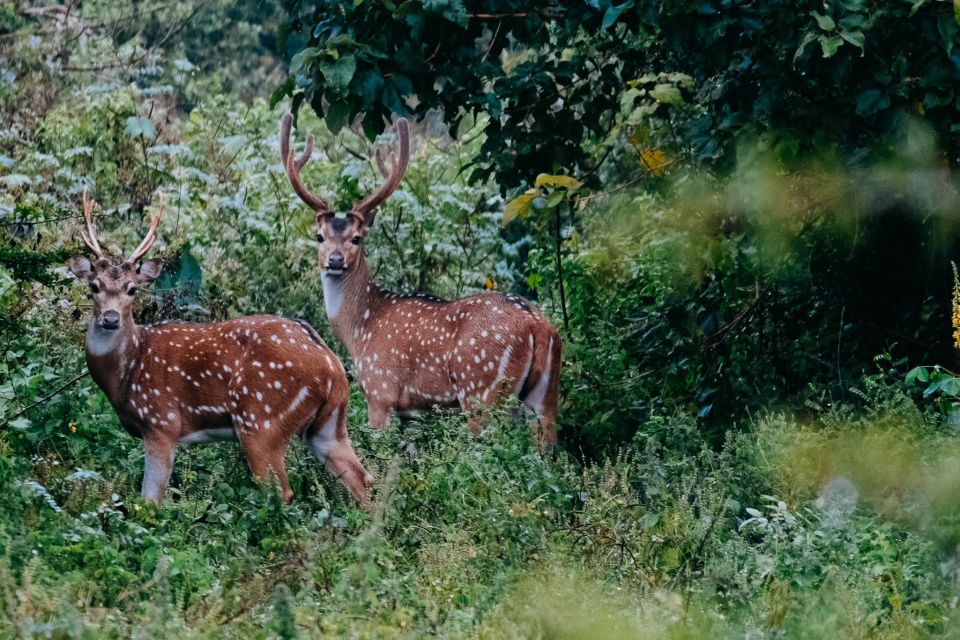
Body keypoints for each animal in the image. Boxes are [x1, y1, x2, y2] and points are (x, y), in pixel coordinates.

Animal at [67, 190, 374, 504]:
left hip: (261, 421)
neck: (128, 370)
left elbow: (151, 499)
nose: (111, 318)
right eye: (94, 286)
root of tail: (332, 365)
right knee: (363, 480)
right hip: (328, 425)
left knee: (282, 491)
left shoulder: (162, 423)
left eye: (132, 289)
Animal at [278, 114, 564, 444]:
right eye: (320, 236)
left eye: (357, 238)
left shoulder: (380, 389)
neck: (361, 327)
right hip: (546, 394)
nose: (335, 260)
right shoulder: (410, 412)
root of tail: (538, 326)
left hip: (481, 388)